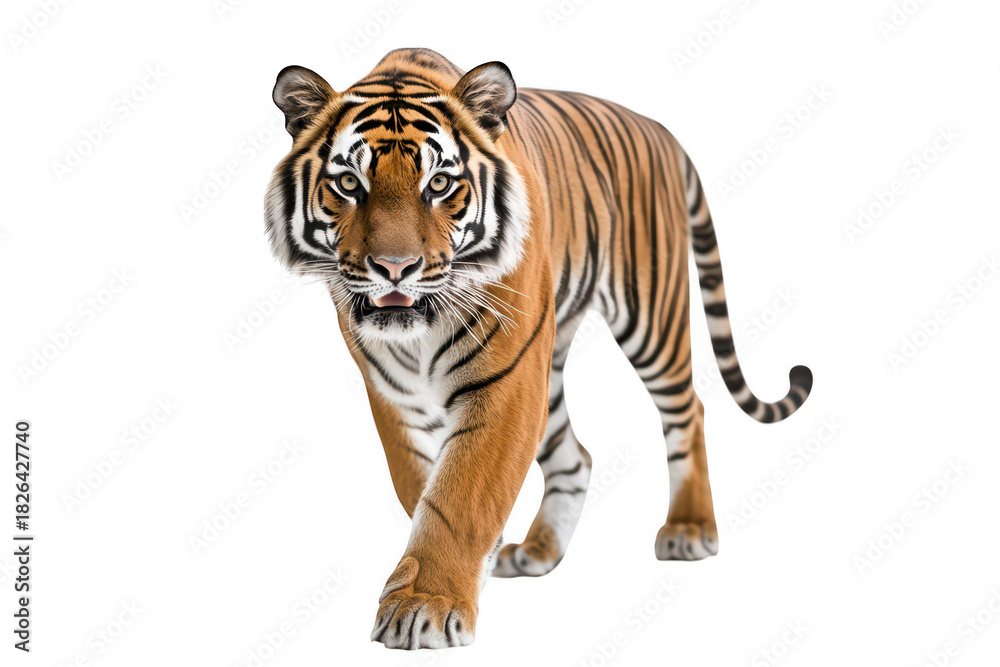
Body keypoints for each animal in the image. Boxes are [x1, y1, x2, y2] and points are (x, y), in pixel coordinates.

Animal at [265, 47, 812, 649]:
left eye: (439, 183)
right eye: (348, 183)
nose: (395, 268)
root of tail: (659, 128)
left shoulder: (505, 383)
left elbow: (459, 496)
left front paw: (424, 606)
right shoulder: (394, 396)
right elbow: (422, 488)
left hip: (649, 320)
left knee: (688, 410)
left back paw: (689, 530)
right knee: (577, 457)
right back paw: (537, 552)